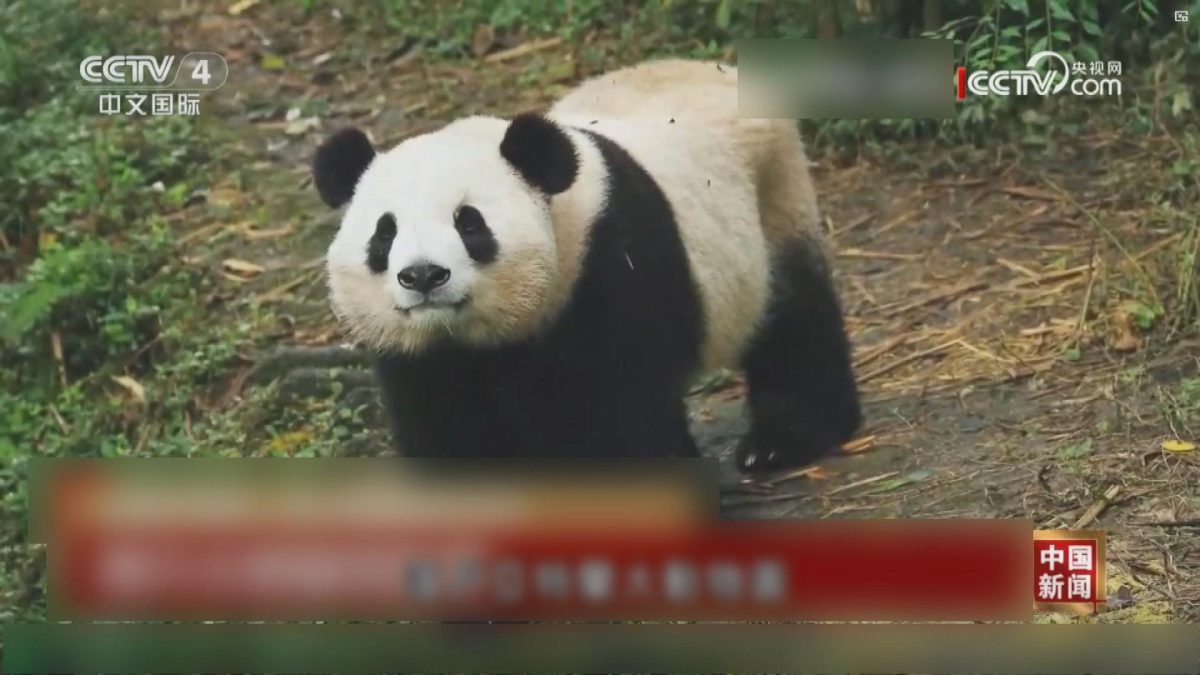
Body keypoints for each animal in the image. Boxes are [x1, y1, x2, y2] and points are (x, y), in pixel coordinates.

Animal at [312, 59, 860, 474]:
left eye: (469, 223)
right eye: (385, 232)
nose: (423, 275)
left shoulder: (609, 269)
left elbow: (617, 417)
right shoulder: (421, 357)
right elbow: (451, 432)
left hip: (773, 199)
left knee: (794, 322)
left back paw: (785, 440)